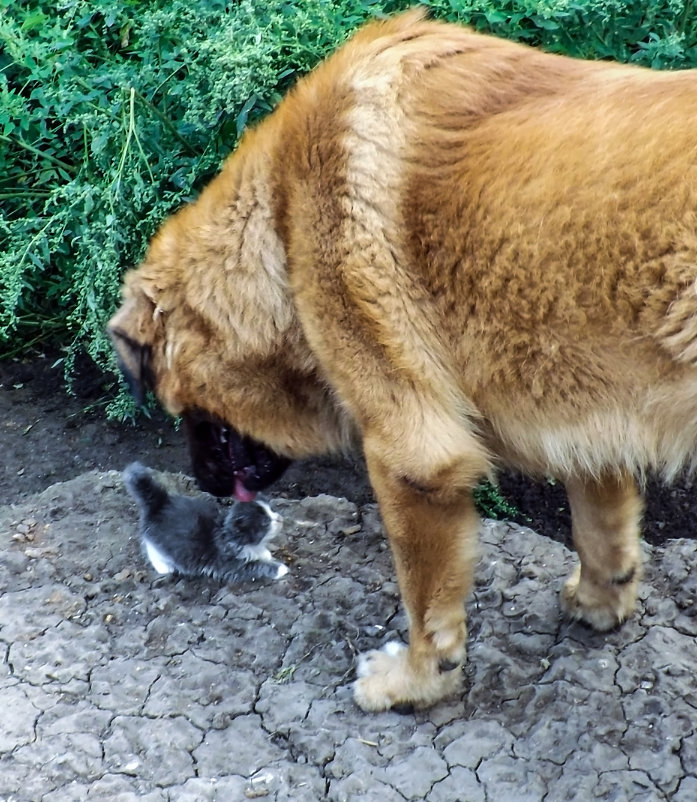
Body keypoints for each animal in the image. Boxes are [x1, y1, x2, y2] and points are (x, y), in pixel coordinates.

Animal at [123, 462, 288, 580]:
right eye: (265, 522)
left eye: (272, 510)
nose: (280, 519)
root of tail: (160, 503)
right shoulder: (229, 563)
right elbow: (255, 567)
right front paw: (280, 569)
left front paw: (264, 554)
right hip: (160, 540)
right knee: (152, 547)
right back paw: (163, 566)